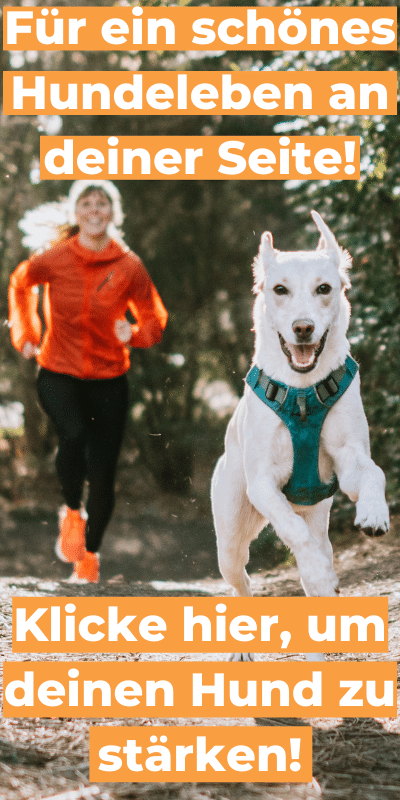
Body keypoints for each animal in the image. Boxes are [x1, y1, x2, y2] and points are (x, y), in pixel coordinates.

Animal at [211, 211, 390, 632]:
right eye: (279, 289)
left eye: (324, 288)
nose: (303, 327)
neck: (304, 393)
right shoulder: (263, 484)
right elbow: (291, 529)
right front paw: (321, 573)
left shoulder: (349, 457)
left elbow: (374, 473)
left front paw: (374, 511)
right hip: (230, 535)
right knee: (242, 577)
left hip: (317, 516)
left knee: (316, 550)